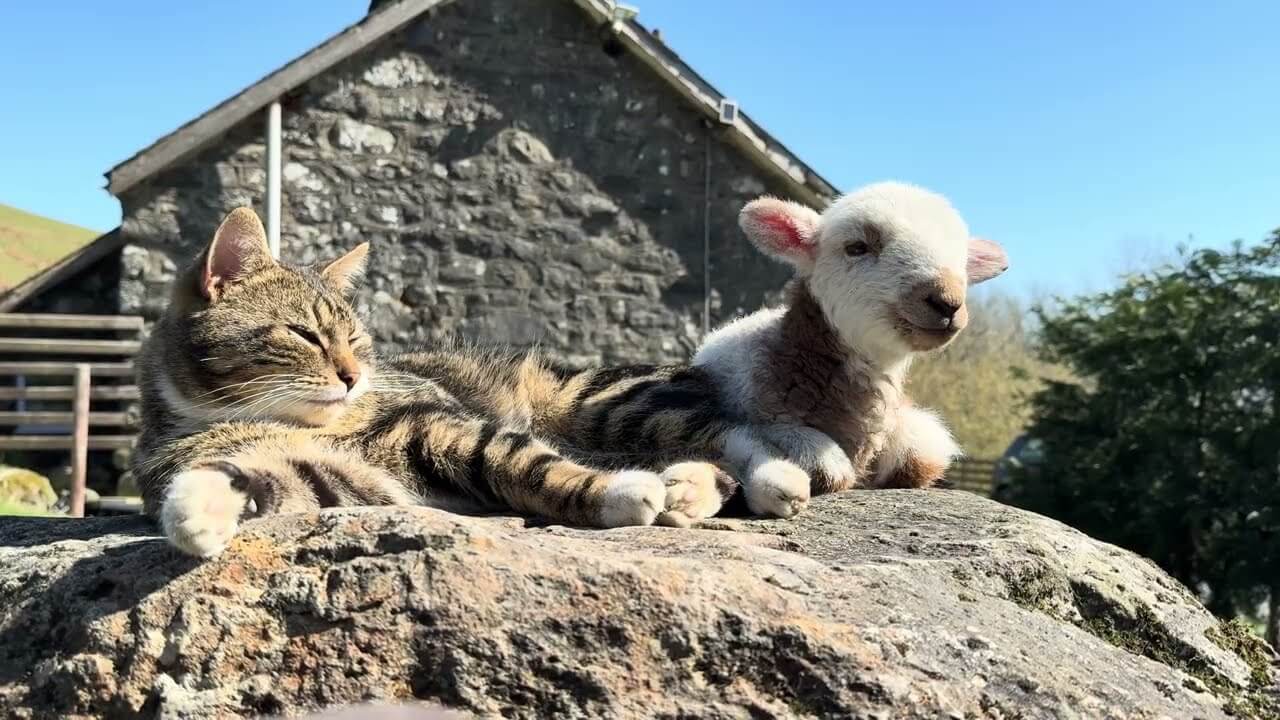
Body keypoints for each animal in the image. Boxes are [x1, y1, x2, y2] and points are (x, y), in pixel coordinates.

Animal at [133, 207, 760, 558]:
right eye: (305, 334)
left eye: (355, 339)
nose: (354, 376)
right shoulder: (355, 483)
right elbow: (263, 478)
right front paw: (193, 511)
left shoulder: (441, 426)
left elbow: (529, 465)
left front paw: (615, 494)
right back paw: (683, 490)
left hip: (600, 402)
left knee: (734, 437)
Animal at [696, 181, 1009, 518]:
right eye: (857, 247)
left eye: (961, 261)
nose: (947, 301)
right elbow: (824, 467)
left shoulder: (917, 439)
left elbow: (918, 461)